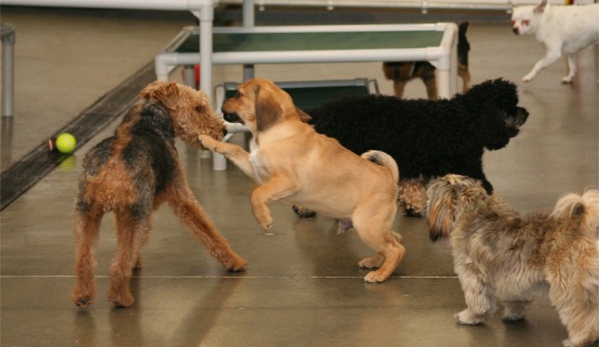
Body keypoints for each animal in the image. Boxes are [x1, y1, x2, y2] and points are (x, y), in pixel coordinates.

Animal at [202, 79, 408, 282]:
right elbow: (234, 149)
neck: (277, 131)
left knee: (396, 249)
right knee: (396, 238)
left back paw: (380, 274)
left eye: (238, 94)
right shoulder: (257, 171)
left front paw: (264, 219)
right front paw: (208, 140)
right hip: (371, 226)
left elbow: (257, 195)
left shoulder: (285, 181)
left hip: (367, 226)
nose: (222, 103)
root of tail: (388, 175)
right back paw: (374, 262)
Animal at [296, 79, 528, 218]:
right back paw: (303, 208)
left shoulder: (410, 157)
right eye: (510, 107)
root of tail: (322, 111)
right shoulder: (468, 166)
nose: (526, 113)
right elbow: (488, 190)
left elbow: (411, 185)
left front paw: (412, 206)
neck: (465, 119)